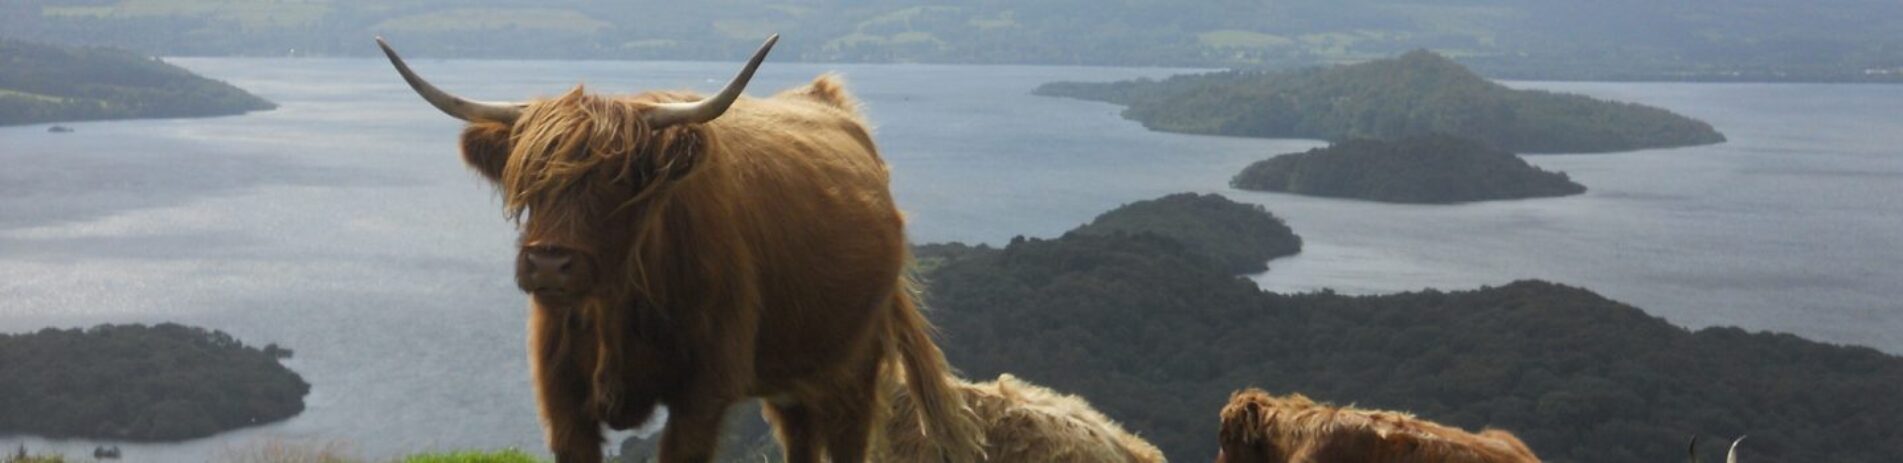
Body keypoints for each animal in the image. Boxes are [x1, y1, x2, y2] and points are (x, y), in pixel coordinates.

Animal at [380, 35, 989, 463]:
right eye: (528, 178)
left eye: (620, 180)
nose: (549, 262)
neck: (615, 307)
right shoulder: (562, 400)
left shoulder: (702, 395)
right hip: (791, 381)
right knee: (799, 440)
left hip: (853, 368)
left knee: (844, 441)